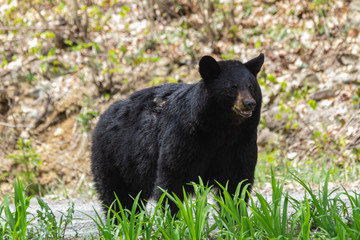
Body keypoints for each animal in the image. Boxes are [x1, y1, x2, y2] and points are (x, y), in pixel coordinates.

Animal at [90, 54, 264, 214]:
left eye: (250, 86)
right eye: (233, 87)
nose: (250, 103)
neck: (222, 129)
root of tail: (104, 115)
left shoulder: (241, 142)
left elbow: (236, 183)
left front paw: (235, 219)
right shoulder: (184, 137)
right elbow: (172, 178)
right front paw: (173, 219)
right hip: (114, 158)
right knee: (118, 197)